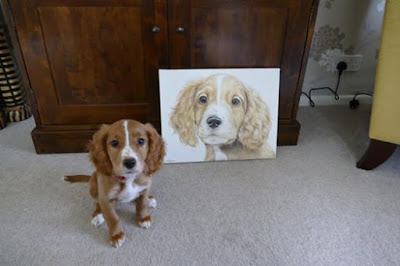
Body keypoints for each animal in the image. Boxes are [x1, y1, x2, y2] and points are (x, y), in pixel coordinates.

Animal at [65, 119, 166, 248]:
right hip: (93, 184)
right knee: (96, 202)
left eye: (141, 141)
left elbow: (142, 204)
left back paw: (150, 199)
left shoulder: (145, 187)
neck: (128, 178)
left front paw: (144, 218)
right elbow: (112, 218)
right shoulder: (105, 198)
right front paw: (116, 236)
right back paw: (97, 215)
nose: (129, 162)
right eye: (114, 143)